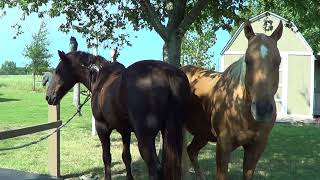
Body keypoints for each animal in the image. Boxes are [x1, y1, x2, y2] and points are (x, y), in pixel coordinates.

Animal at [45, 51, 190, 180]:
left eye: (58, 71)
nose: (48, 97)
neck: (100, 78)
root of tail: (168, 73)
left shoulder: (102, 127)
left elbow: (106, 157)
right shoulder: (125, 131)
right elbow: (126, 157)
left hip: (145, 137)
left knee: (155, 169)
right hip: (171, 133)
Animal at [181, 20, 284, 179]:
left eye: (278, 61)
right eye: (247, 61)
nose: (263, 109)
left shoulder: (256, 147)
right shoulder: (223, 146)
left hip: (202, 133)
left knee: (191, 151)